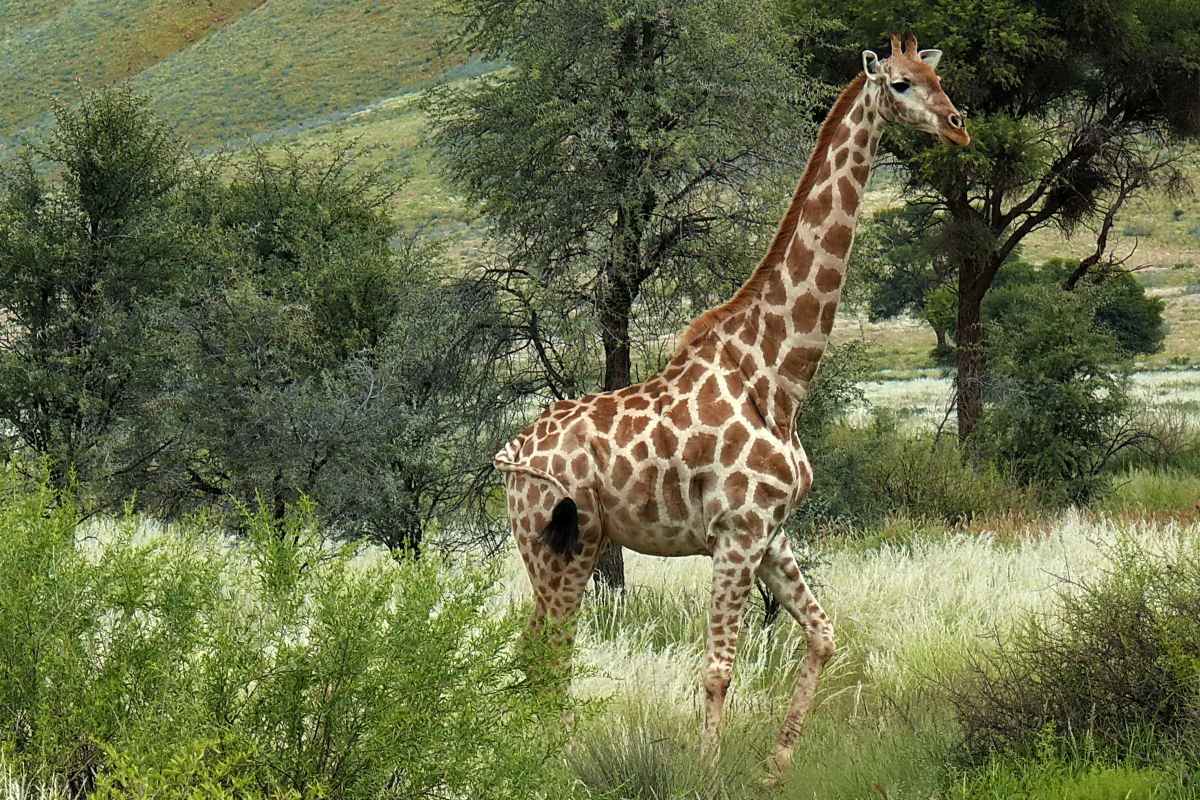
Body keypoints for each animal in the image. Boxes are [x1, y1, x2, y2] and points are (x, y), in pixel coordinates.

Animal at [494, 32, 969, 776]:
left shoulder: (770, 533)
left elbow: (825, 635)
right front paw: (709, 770)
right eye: (899, 83)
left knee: (541, 656)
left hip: (572, 547)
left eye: (937, 76)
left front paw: (777, 765)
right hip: (558, 548)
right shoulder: (737, 533)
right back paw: (550, 763)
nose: (958, 126)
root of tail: (513, 452)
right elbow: (719, 668)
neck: (777, 377)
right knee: (546, 656)